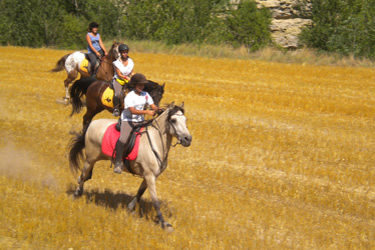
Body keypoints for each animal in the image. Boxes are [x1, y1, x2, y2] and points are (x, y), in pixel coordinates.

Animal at [68, 101, 192, 230]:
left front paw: (130, 208)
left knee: (85, 176)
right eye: (173, 120)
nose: (188, 139)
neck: (156, 142)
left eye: (185, 120)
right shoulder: (150, 176)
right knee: (83, 175)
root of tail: (92, 124)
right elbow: (155, 201)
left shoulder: (150, 176)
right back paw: (76, 193)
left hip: (94, 158)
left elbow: (139, 193)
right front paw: (164, 223)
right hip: (90, 158)